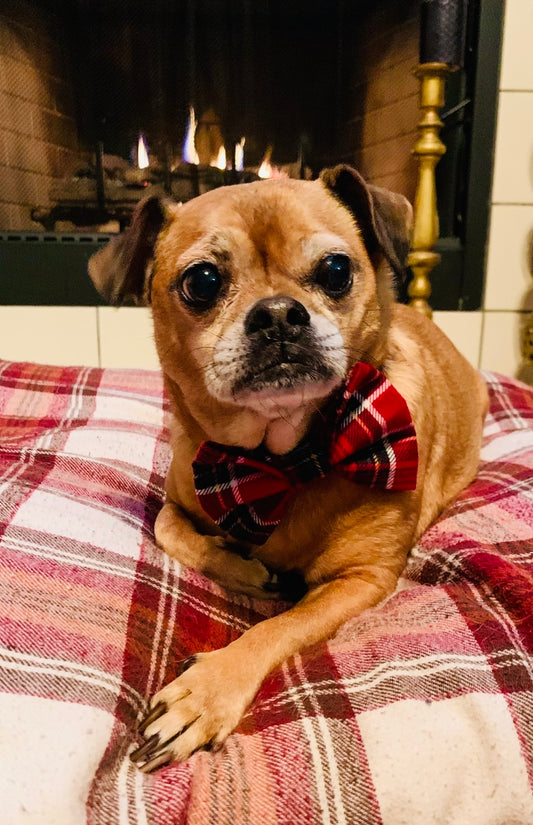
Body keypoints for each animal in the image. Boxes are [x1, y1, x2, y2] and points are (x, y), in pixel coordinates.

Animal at [87, 164, 486, 768]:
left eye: (337, 270)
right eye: (203, 281)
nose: (277, 313)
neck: (282, 462)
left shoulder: (362, 580)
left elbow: (282, 624)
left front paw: (207, 692)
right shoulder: (179, 497)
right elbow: (168, 528)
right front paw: (244, 568)